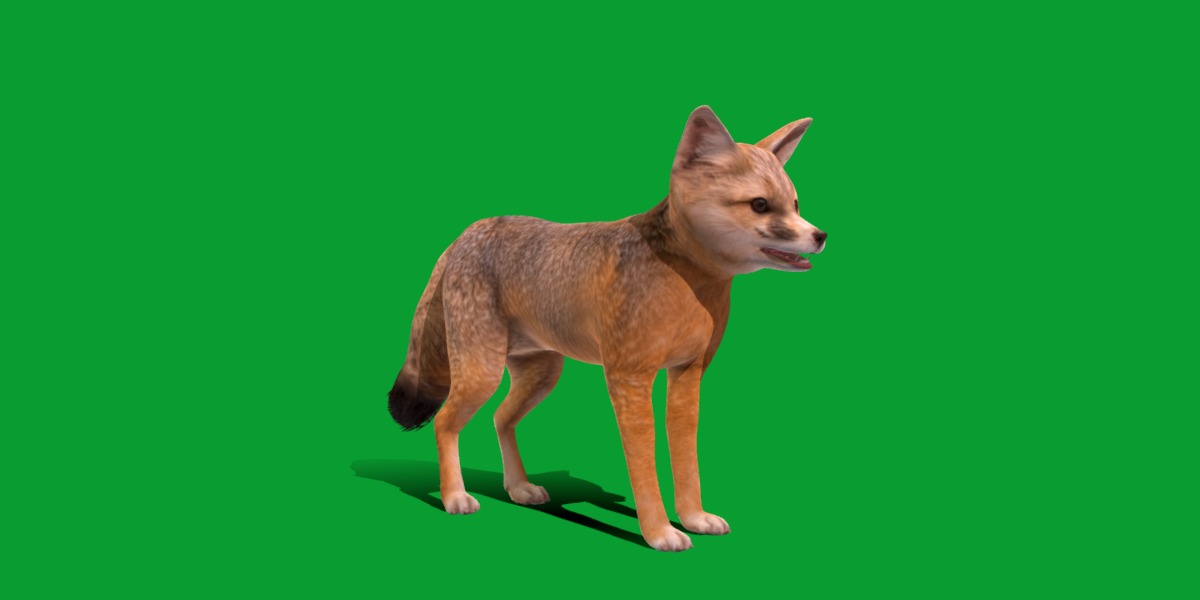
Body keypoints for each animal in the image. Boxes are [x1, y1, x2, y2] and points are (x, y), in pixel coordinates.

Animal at [387, 106, 826, 551]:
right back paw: (454, 496)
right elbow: (645, 463)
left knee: (500, 418)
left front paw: (693, 518)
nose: (820, 236)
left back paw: (519, 488)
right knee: (445, 422)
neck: (687, 283)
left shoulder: (688, 374)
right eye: (760, 205)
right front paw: (659, 531)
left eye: (794, 204)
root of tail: (469, 231)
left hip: (541, 376)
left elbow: (686, 459)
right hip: (483, 373)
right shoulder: (628, 378)